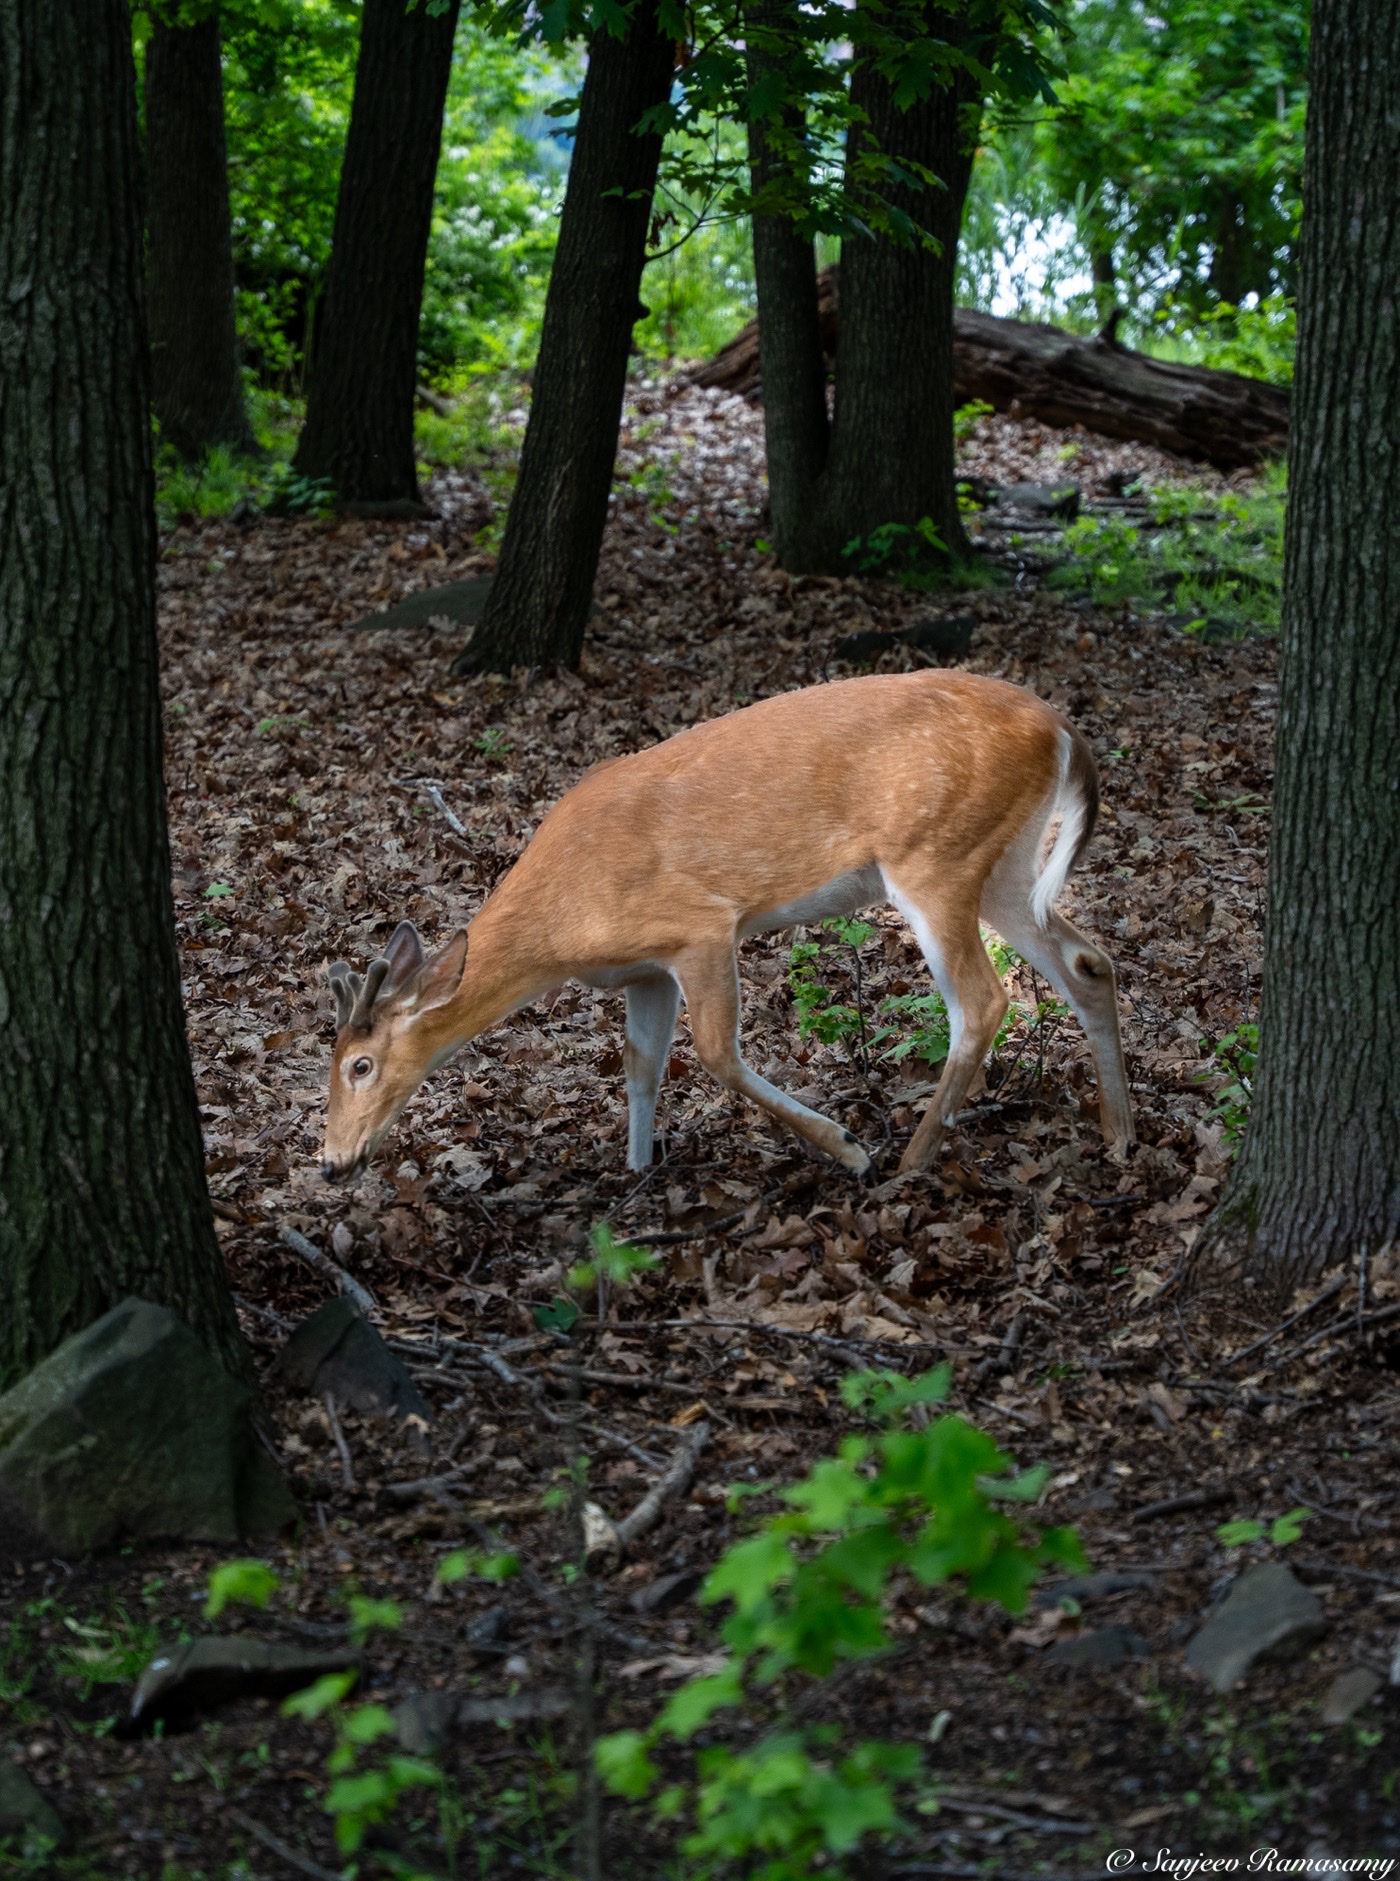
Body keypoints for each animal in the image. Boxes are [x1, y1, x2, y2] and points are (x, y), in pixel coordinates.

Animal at [320, 670, 1133, 1186]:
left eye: (359, 1065)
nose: (331, 1162)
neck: (561, 924)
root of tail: (1063, 729)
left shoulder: (701, 927)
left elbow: (714, 1052)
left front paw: (847, 1148)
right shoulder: (644, 967)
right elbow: (640, 1064)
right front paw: (637, 1174)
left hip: (935, 857)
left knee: (983, 1001)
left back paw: (909, 1160)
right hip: (1004, 865)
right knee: (1088, 963)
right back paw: (1119, 1135)